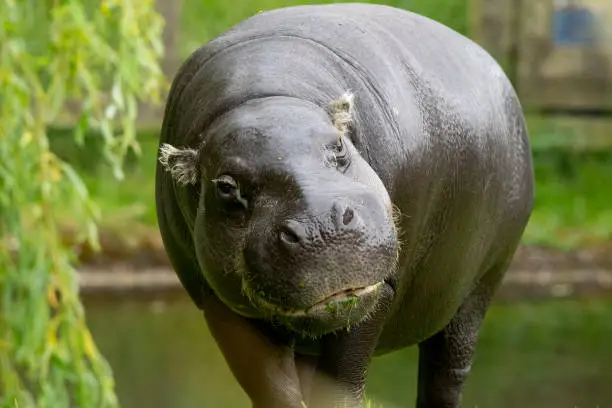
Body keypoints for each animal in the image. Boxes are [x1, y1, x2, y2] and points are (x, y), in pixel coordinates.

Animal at [155, 3, 532, 408]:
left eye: (338, 146)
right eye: (225, 187)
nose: (321, 228)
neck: (264, 97)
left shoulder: (378, 294)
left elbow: (340, 388)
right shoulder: (220, 304)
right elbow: (274, 389)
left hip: (481, 284)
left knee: (447, 371)